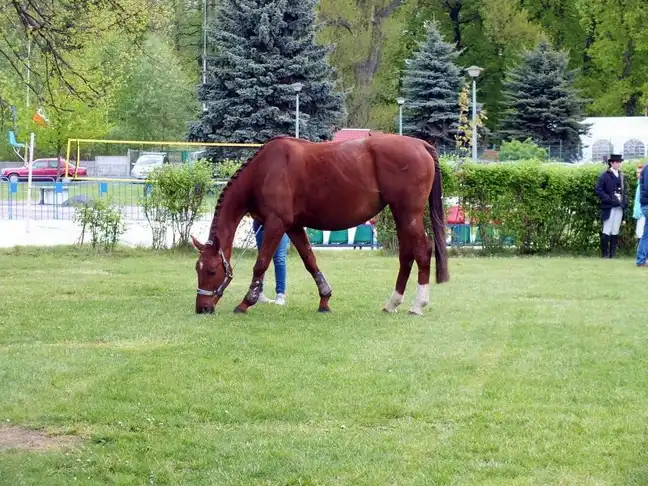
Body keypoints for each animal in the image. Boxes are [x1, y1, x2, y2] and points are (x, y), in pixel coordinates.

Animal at [190, 133, 448, 316]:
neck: (263, 170)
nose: (202, 307)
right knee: (406, 255)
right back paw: (392, 302)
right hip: (401, 215)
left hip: (409, 214)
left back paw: (418, 304)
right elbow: (309, 260)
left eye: (211, 270)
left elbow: (261, 263)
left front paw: (246, 302)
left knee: (422, 252)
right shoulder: (293, 226)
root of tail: (420, 145)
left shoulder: (276, 223)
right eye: (197, 269)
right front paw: (324, 299)